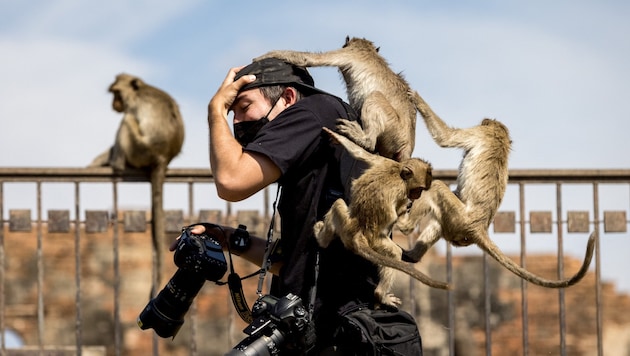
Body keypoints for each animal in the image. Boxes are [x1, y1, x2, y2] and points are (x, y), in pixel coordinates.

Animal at [90, 73, 186, 294]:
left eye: (116, 93)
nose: (114, 103)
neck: (139, 91)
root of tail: (162, 157)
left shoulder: (133, 107)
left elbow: (127, 119)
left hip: (140, 149)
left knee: (126, 121)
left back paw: (116, 164)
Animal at [254, 35, 418, 161]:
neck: (368, 50)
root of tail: (408, 143)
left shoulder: (350, 53)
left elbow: (308, 59)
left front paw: (266, 56)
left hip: (394, 129)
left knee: (375, 97)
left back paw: (366, 140)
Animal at [316, 126, 450, 308]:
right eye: (419, 189)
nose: (417, 196)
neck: (398, 173)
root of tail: (357, 235)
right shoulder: (400, 190)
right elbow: (396, 219)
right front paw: (404, 212)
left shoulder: (385, 162)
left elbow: (360, 153)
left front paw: (338, 137)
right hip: (373, 242)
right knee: (393, 252)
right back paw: (380, 295)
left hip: (345, 225)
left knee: (337, 204)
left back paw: (322, 239)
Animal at [400, 89, 596, 290]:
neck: (500, 136)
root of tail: (479, 228)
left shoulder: (480, 133)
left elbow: (445, 137)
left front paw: (417, 98)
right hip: (457, 225)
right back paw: (411, 256)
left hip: (460, 218)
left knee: (437, 187)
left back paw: (404, 225)